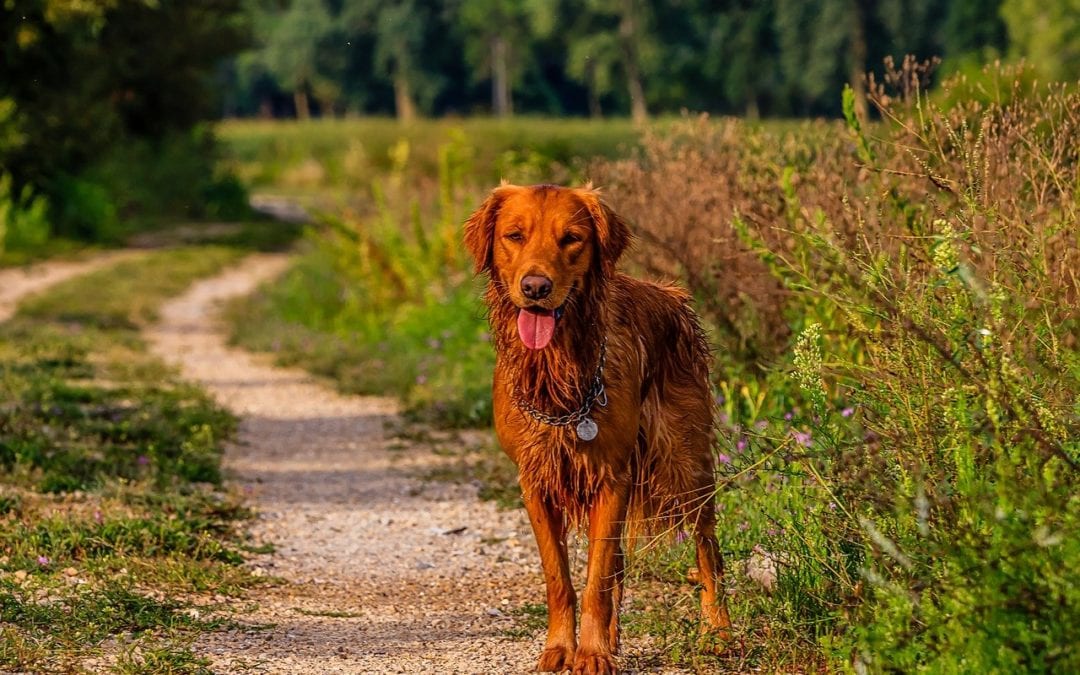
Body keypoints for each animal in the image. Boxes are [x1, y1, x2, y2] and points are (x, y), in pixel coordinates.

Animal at [464, 181, 734, 669]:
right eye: (514, 235)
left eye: (571, 238)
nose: (536, 287)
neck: (558, 374)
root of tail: (672, 296)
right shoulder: (536, 482)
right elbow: (562, 579)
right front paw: (561, 648)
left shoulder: (612, 477)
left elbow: (596, 581)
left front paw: (590, 653)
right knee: (619, 564)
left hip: (686, 463)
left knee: (707, 551)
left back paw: (719, 632)